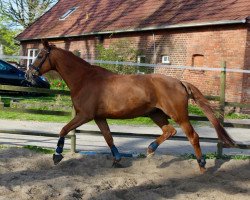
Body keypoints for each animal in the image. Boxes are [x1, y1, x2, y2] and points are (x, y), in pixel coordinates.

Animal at [26, 39, 235, 173]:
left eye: (41, 55)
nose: (29, 75)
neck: (84, 79)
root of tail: (180, 82)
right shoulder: (98, 117)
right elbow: (108, 137)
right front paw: (117, 159)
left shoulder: (84, 115)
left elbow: (63, 129)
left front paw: (57, 156)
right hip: (156, 114)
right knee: (169, 131)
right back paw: (150, 149)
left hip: (178, 115)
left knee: (193, 136)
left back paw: (201, 165)